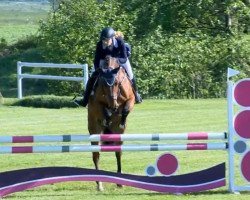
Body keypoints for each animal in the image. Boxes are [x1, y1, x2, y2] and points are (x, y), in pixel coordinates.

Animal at [87, 55, 135, 191]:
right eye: (103, 84)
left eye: (118, 83)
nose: (113, 105)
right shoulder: (97, 103)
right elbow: (106, 112)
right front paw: (108, 117)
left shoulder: (131, 99)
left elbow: (126, 109)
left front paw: (122, 120)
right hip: (93, 130)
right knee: (96, 155)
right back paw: (99, 184)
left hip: (119, 135)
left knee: (118, 153)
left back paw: (119, 181)